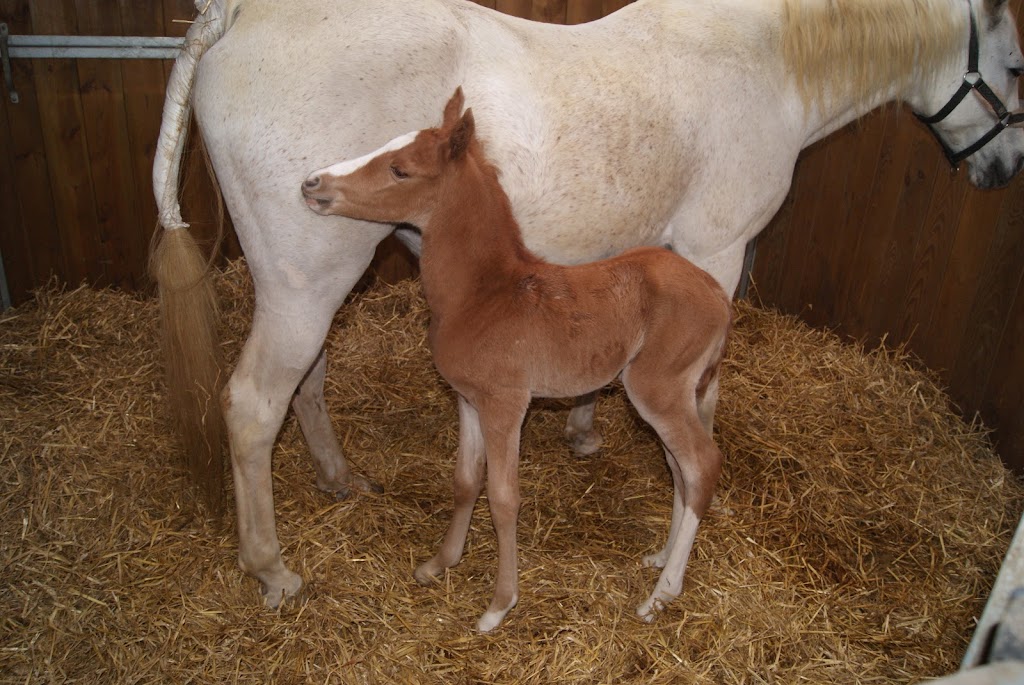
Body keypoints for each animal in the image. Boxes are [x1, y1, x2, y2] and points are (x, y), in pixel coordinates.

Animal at [299, 89, 733, 630]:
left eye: (400, 169)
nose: (312, 182)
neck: (482, 296)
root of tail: (718, 294)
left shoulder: (505, 404)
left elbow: (504, 498)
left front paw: (498, 605)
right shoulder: (467, 399)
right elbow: (465, 480)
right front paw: (440, 563)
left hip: (657, 387)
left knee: (701, 463)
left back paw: (661, 595)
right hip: (672, 394)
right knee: (679, 468)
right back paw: (659, 558)